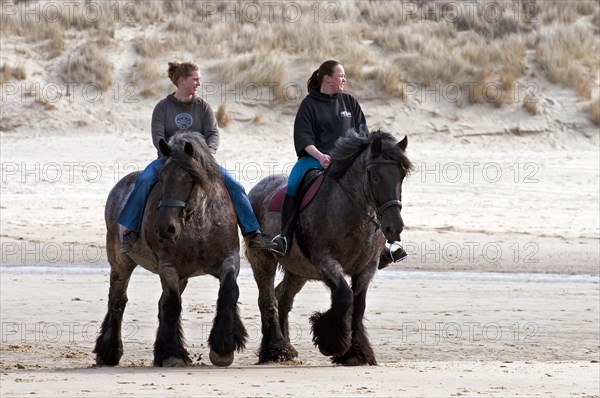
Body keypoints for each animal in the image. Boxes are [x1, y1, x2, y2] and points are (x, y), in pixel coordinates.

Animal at [93, 131, 246, 366]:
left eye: (191, 179)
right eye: (162, 179)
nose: (166, 227)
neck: (199, 224)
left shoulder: (230, 259)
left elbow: (228, 292)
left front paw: (223, 349)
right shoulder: (168, 266)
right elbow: (173, 304)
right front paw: (172, 354)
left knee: (157, 303)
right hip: (120, 261)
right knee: (117, 300)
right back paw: (108, 352)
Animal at [245, 129, 412, 366]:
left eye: (401, 176)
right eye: (376, 176)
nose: (394, 227)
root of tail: (257, 188)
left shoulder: (367, 268)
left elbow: (358, 305)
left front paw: (356, 352)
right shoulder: (326, 261)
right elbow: (344, 296)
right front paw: (332, 342)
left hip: (298, 271)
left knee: (282, 297)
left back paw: (286, 347)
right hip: (262, 259)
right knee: (267, 300)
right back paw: (275, 350)